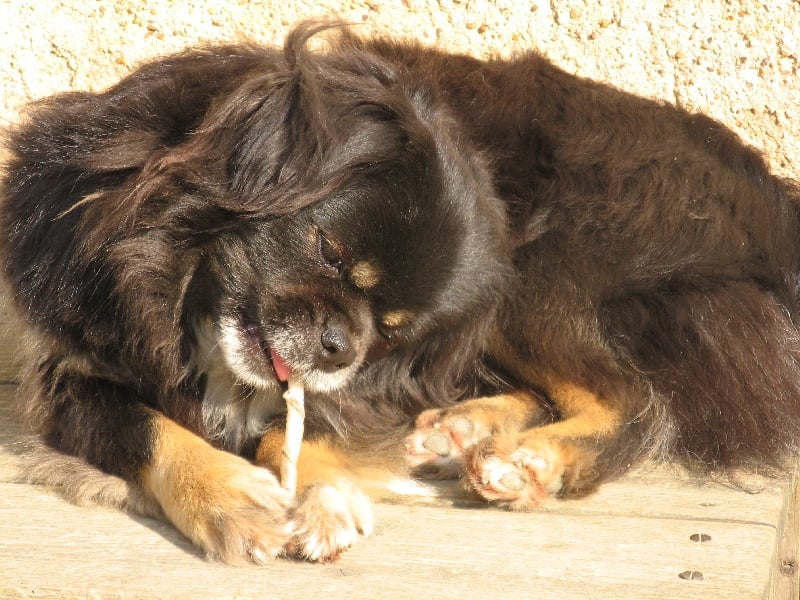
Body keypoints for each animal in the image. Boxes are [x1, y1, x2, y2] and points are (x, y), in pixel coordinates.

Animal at [3, 22, 800, 564]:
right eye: (328, 252)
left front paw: (325, 495)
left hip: (532, 268)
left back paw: (531, 461)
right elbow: (147, 429)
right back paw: (463, 428)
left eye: (389, 328)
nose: (341, 347)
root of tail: (769, 202)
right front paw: (233, 499)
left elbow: (294, 428)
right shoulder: (67, 368)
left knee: (634, 400)